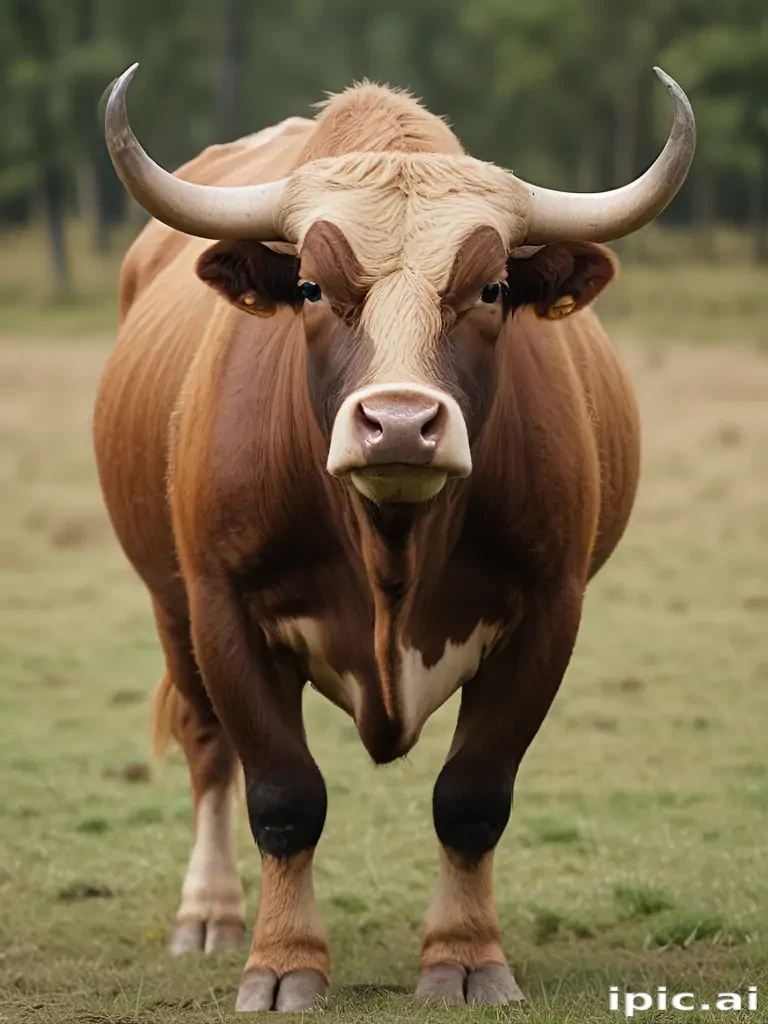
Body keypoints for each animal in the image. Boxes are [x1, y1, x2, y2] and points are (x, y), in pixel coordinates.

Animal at [94, 65, 694, 1011]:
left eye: (491, 289)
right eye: (310, 287)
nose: (402, 424)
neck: (392, 542)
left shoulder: (550, 612)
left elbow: (473, 797)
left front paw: (466, 955)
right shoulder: (222, 607)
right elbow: (282, 793)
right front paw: (282, 962)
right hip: (169, 605)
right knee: (206, 746)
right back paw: (211, 913)